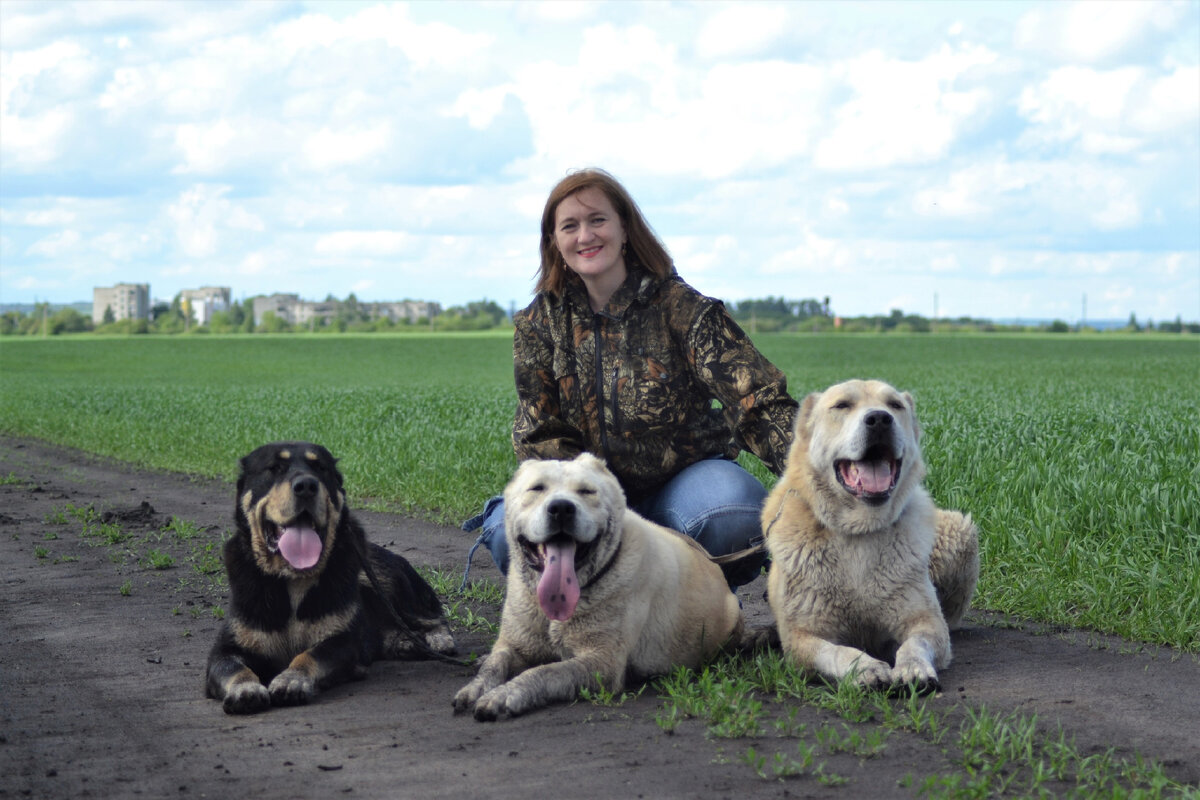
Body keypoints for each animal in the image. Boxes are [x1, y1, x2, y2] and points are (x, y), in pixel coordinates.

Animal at [206, 441, 453, 714]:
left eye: (320, 468)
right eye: (275, 468)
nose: (306, 485)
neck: (293, 578)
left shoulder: (342, 642)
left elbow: (310, 655)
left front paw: (292, 680)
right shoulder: (225, 649)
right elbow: (232, 667)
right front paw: (245, 689)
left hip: (384, 579)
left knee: (432, 616)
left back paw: (439, 639)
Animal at [456, 453, 744, 724]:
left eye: (586, 491)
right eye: (537, 488)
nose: (561, 508)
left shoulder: (602, 662)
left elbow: (545, 671)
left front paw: (504, 695)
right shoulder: (515, 643)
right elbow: (496, 663)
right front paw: (476, 686)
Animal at [763, 379, 979, 690]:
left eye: (895, 405)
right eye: (841, 405)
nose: (879, 419)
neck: (859, 530)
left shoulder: (927, 622)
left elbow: (914, 644)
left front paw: (913, 668)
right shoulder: (801, 639)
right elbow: (837, 651)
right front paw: (865, 667)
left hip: (960, 529)